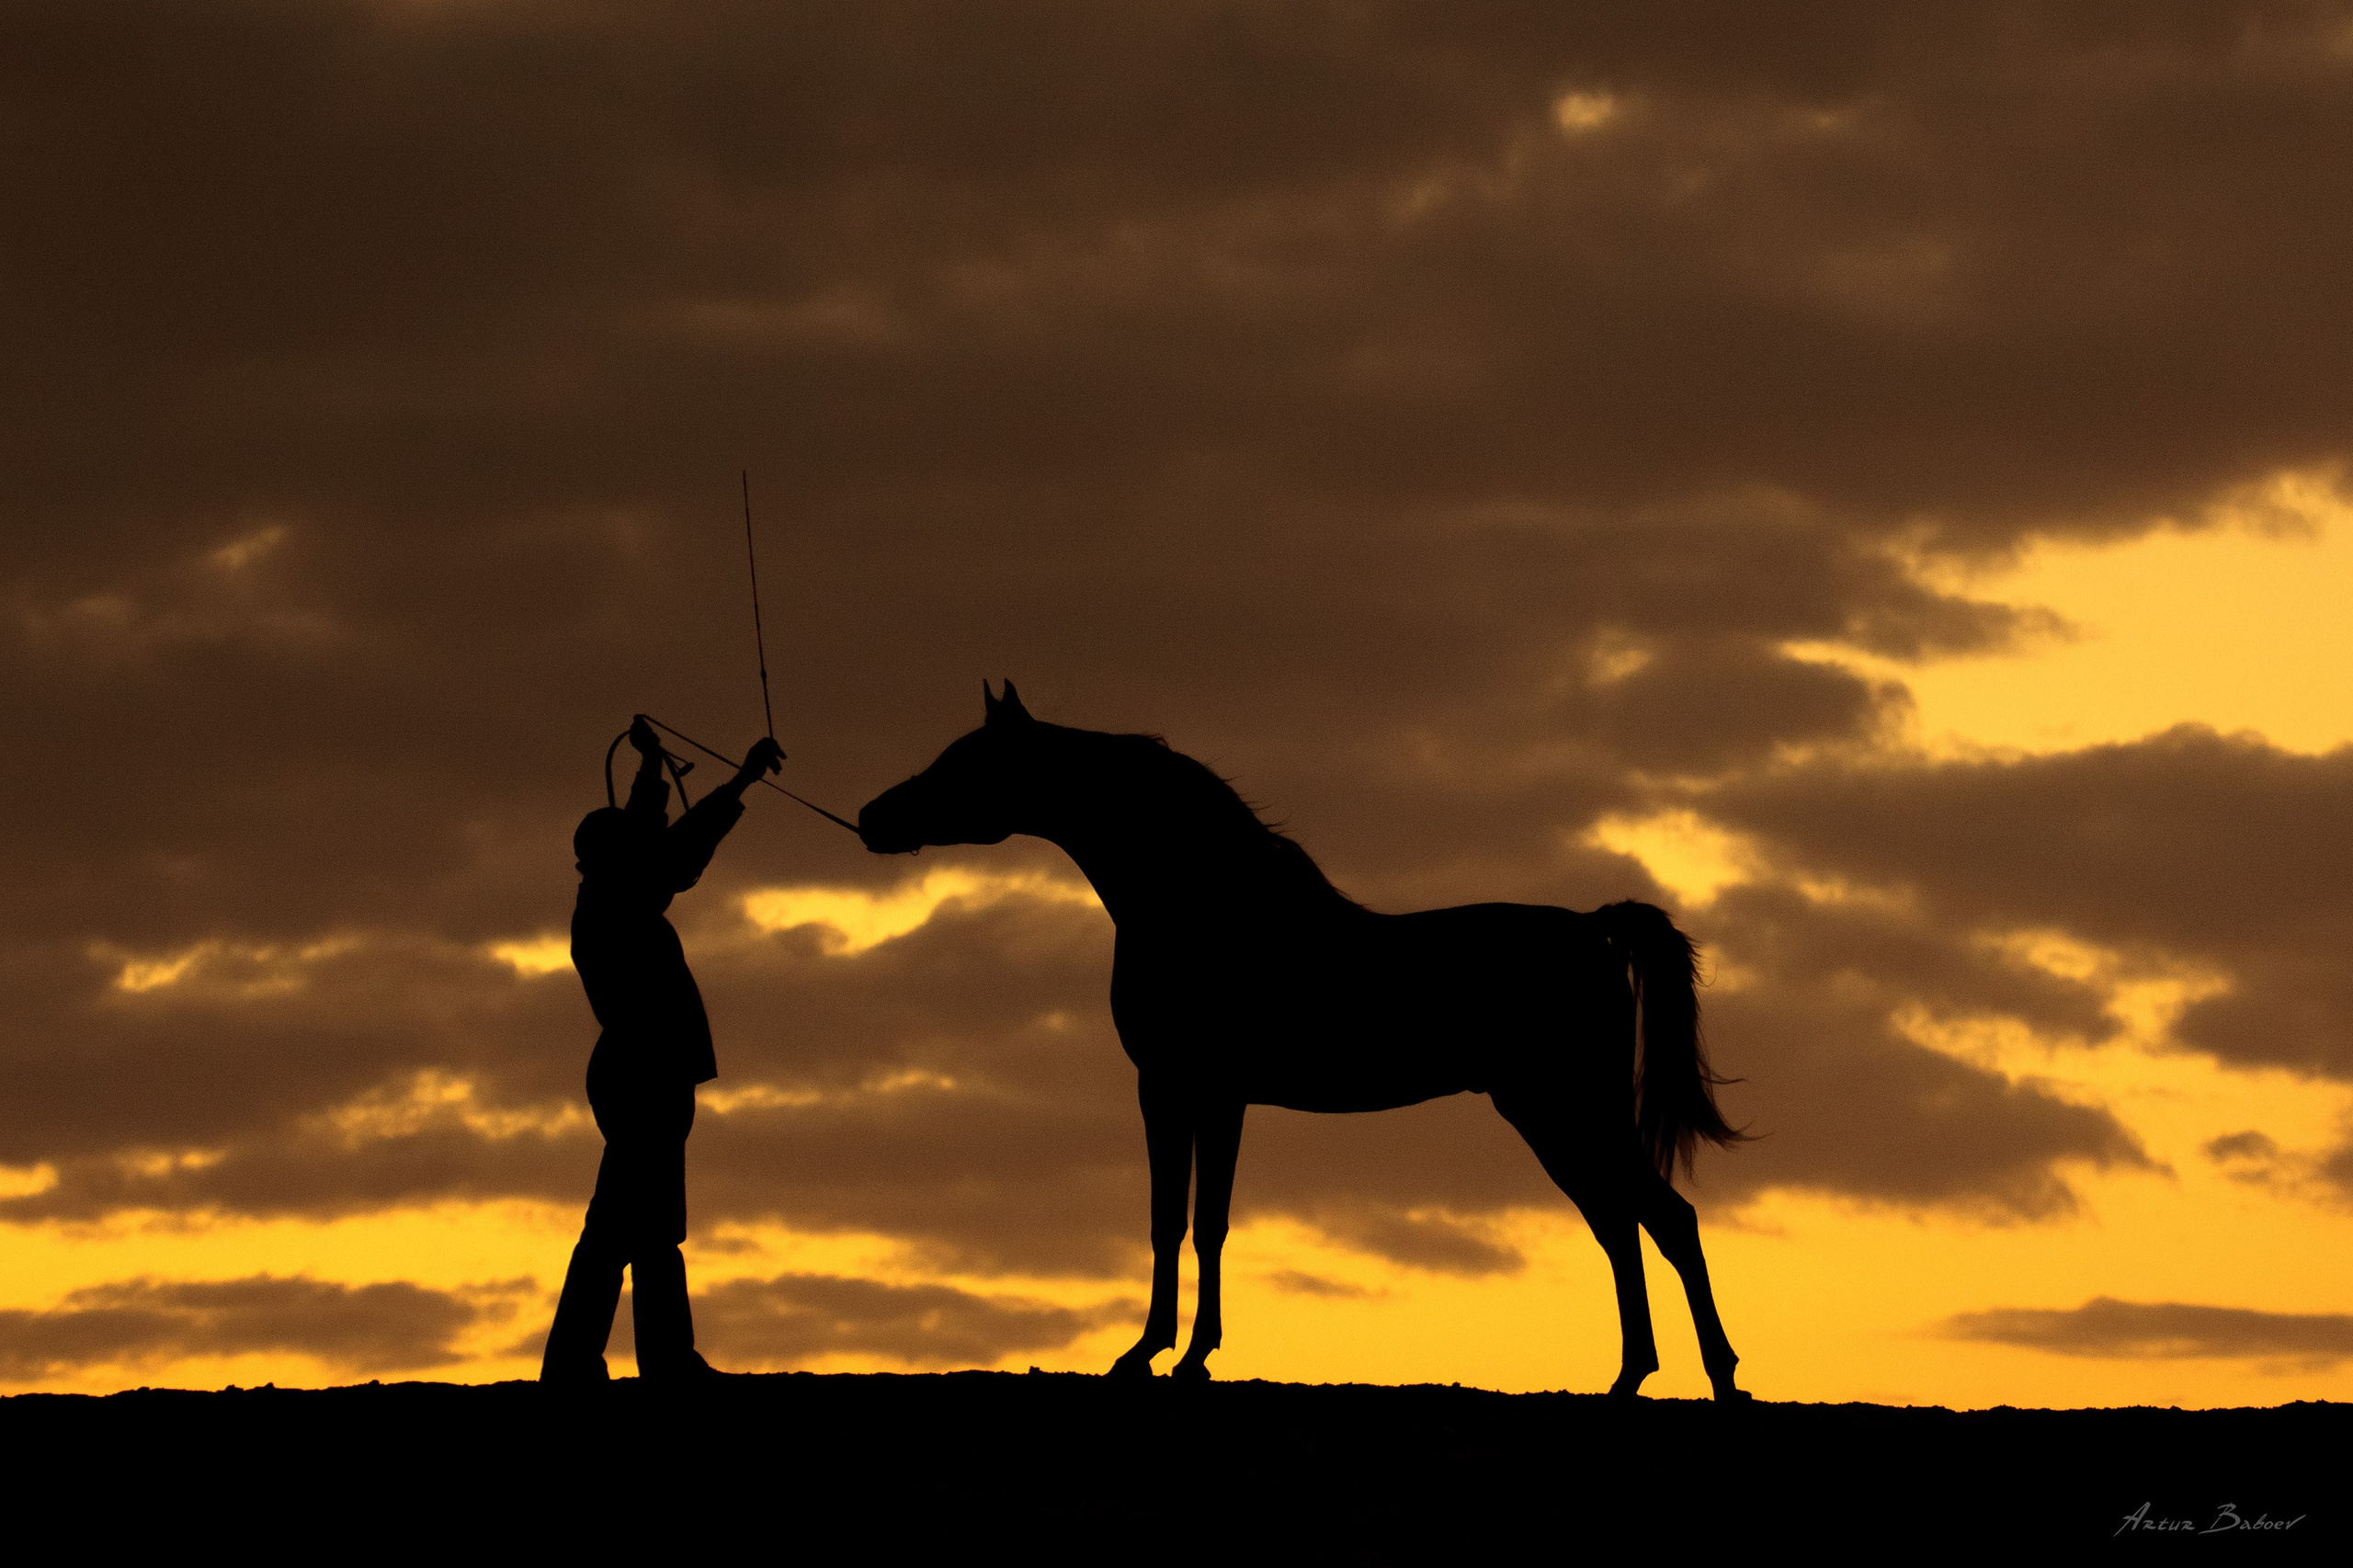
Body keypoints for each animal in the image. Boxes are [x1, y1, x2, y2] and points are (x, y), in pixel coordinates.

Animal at [857, 682, 1750, 1400]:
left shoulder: (1193, 1090)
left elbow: (1190, 1221)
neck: (1205, 909)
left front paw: (1168, 1355)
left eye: (967, 762)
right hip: (1551, 1115)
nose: (871, 818)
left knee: (1664, 1220)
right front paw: (1167, 1353)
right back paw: (1630, 1378)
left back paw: (1719, 1378)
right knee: (1623, 1226)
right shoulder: (1191, 1094)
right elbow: (1182, 1221)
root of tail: (1595, 931)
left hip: (1565, 1108)